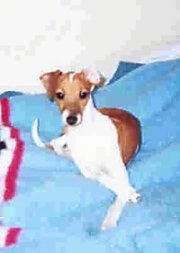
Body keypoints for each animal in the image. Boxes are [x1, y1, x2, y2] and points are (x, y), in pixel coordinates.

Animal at [32, 68, 142, 230]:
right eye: (60, 94)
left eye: (83, 94)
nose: (71, 120)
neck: (85, 135)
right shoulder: (89, 172)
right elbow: (104, 178)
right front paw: (129, 192)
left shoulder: (120, 170)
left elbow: (119, 193)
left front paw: (110, 219)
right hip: (65, 137)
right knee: (56, 143)